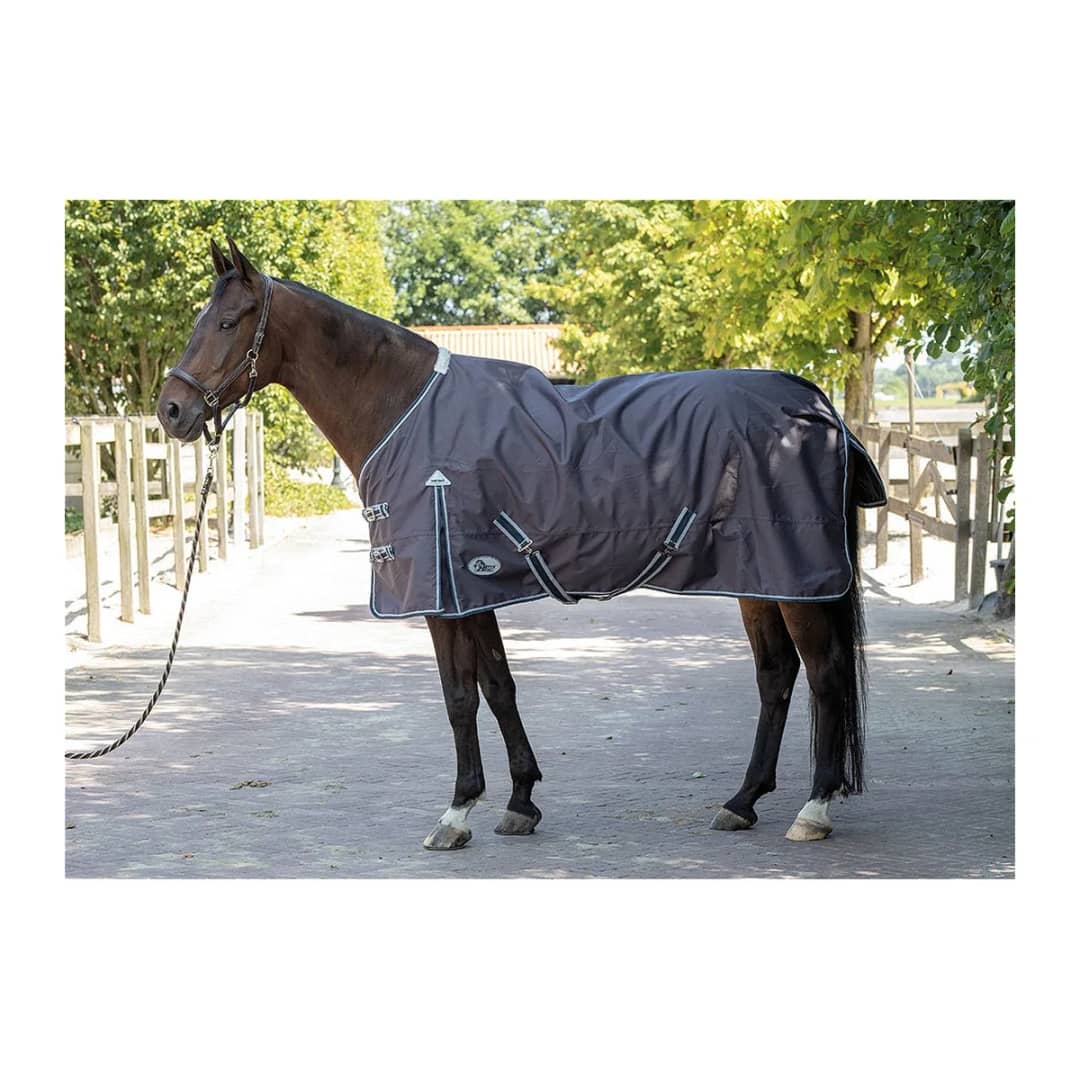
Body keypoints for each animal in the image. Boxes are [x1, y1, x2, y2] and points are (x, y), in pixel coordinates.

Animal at [157, 237, 881, 851]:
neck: (405, 408)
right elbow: (499, 686)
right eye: (200, 319)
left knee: (823, 675)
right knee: (776, 676)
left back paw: (813, 809)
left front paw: (456, 813)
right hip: (760, 578)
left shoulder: (441, 593)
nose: (171, 410)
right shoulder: (472, 588)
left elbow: (459, 696)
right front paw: (520, 801)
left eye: (229, 322)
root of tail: (816, 405)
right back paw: (742, 800)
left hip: (799, 579)